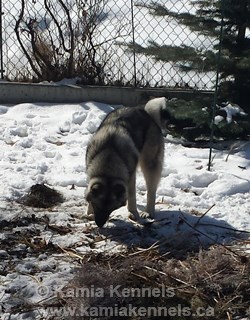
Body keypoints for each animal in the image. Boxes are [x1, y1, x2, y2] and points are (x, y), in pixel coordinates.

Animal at [85, 96, 170, 226]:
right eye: (96, 205)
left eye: (111, 208)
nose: (99, 224)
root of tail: (148, 115)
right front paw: (89, 212)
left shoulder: (130, 177)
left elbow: (131, 196)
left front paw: (133, 213)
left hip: (150, 164)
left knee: (151, 191)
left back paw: (148, 212)